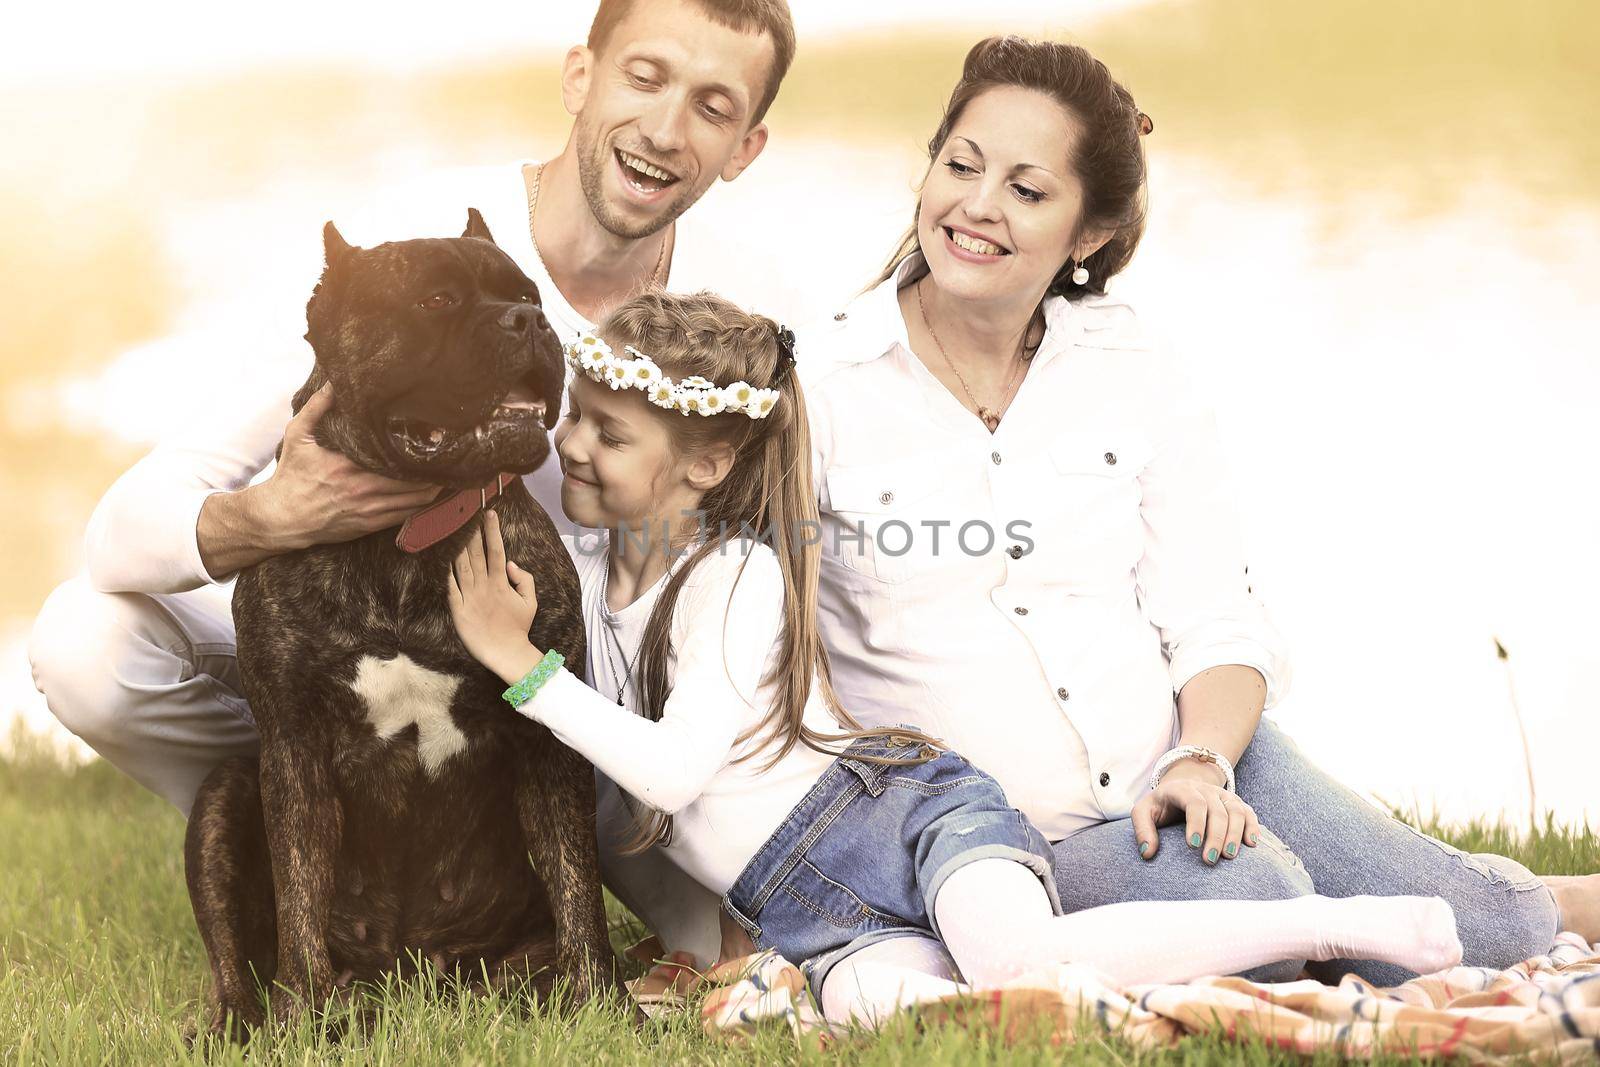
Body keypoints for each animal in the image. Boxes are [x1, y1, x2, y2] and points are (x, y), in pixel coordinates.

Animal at [183, 211, 611, 1043]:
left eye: (530, 294)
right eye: (436, 300)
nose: (529, 322)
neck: (408, 528)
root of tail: (409, 974)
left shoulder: (550, 742)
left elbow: (579, 887)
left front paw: (608, 1009)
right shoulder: (292, 744)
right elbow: (300, 889)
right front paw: (299, 1020)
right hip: (223, 792)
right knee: (232, 959)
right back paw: (242, 1021)